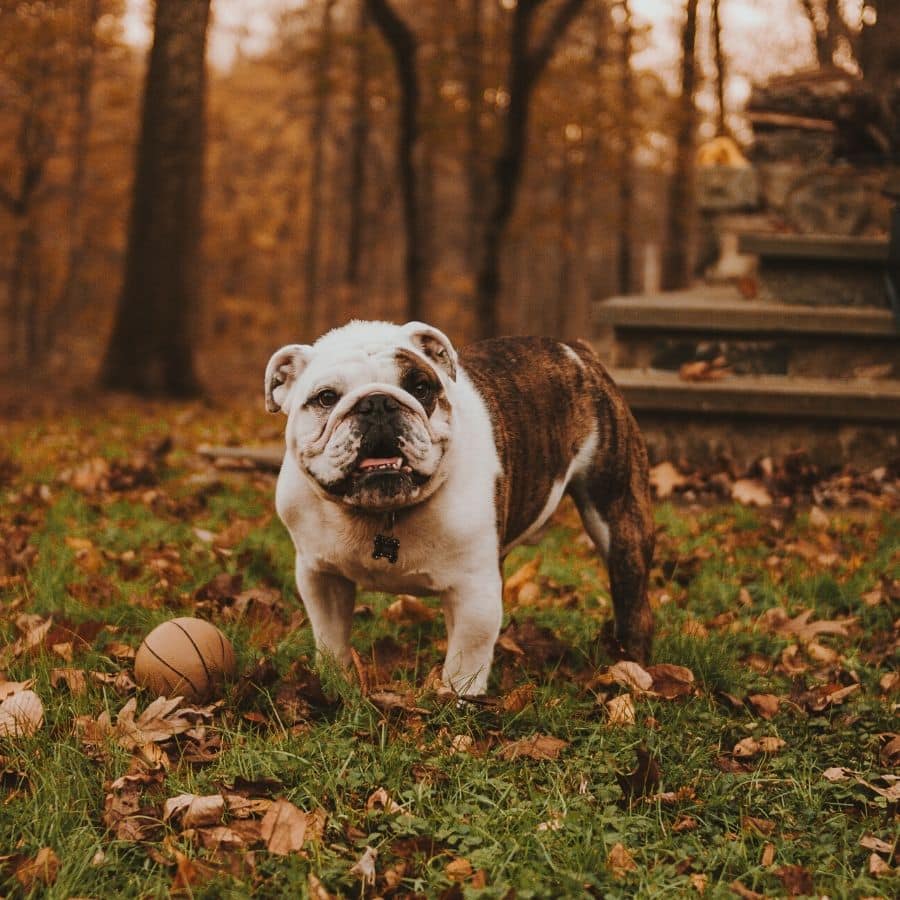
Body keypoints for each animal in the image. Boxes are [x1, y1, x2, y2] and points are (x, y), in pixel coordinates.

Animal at [268, 324, 652, 696]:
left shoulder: (474, 592)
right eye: (326, 397)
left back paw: (632, 667)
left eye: (420, 387)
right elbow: (330, 637)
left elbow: (466, 660)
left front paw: (456, 701)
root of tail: (575, 350)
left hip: (617, 514)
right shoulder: (320, 576)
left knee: (632, 599)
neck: (381, 514)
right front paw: (333, 682)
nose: (377, 402)